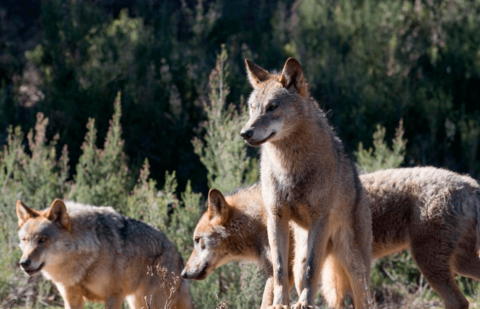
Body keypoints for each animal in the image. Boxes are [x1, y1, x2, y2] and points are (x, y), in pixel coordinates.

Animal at [16, 197, 193, 308]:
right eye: (24, 240)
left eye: (42, 239)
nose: (24, 263)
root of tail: (178, 255)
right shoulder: (72, 299)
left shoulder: (114, 296)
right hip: (137, 302)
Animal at [182, 166, 480, 308]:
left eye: (198, 242)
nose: (184, 273)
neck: (261, 218)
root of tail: (470, 183)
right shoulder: (287, 275)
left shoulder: (282, 275)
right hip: (457, 264)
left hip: (430, 263)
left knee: (459, 301)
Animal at [239, 58, 372, 308]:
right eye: (252, 107)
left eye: (272, 107)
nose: (245, 132)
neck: (289, 166)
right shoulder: (276, 218)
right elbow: (280, 270)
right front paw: (279, 303)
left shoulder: (320, 219)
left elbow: (313, 270)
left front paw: (303, 304)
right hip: (301, 258)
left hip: (355, 270)